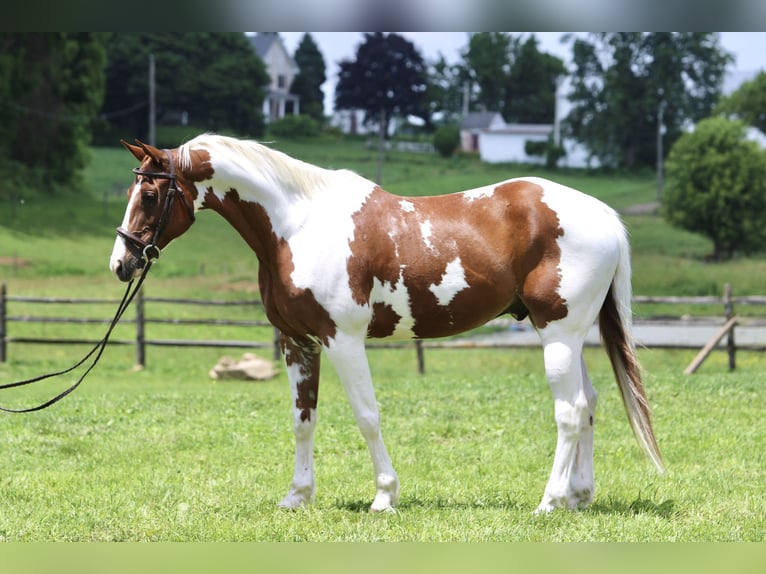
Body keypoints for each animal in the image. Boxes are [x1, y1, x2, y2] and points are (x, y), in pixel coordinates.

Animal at [109, 133, 663, 513]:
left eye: (151, 196)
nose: (122, 263)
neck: (297, 225)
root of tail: (604, 215)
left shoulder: (343, 341)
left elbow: (367, 416)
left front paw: (384, 496)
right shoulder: (298, 343)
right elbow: (303, 420)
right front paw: (298, 496)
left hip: (559, 335)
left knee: (569, 411)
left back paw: (548, 502)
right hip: (570, 336)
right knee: (589, 404)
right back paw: (578, 496)